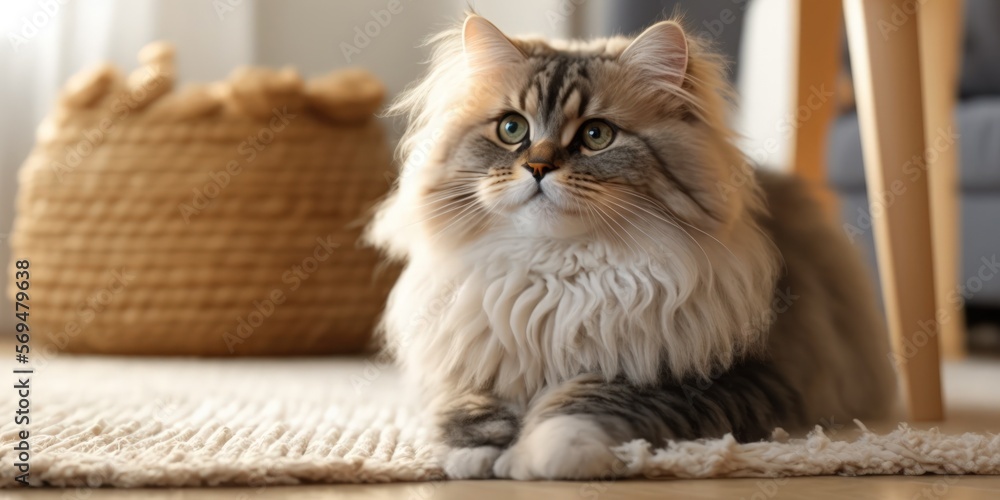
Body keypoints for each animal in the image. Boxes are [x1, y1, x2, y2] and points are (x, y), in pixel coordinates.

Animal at [368, 13, 900, 478]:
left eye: (596, 135)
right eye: (512, 128)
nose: (538, 167)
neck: (559, 278)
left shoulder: (722, 375)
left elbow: (585, 405)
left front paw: (537, 458)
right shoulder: (470, 363)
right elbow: (470, 409)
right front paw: (478, 455)